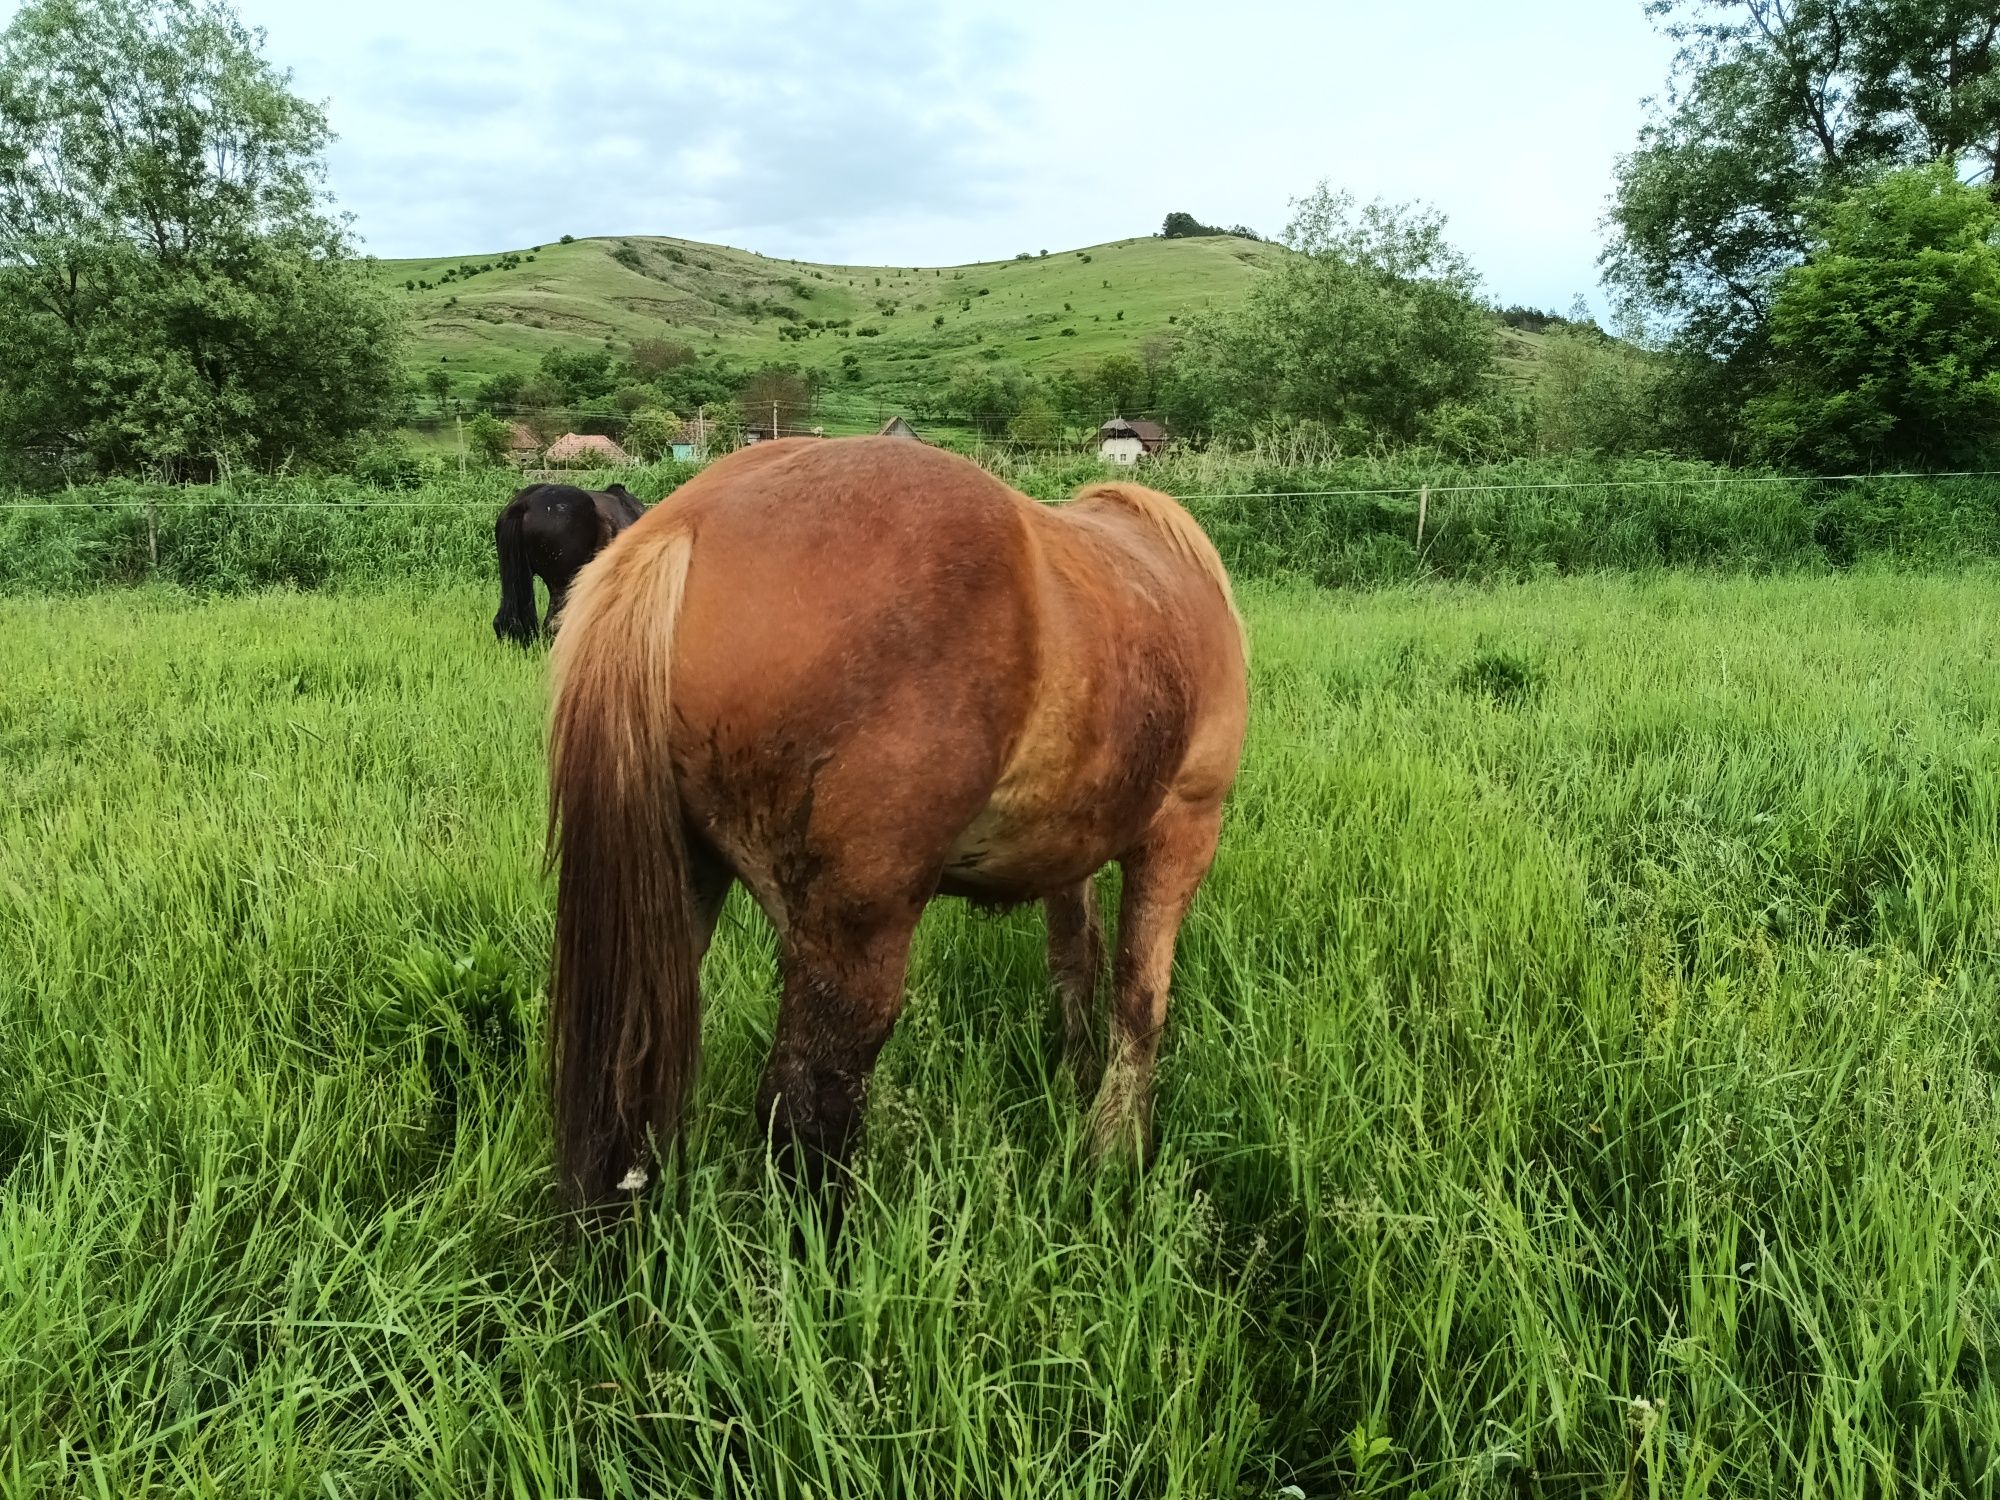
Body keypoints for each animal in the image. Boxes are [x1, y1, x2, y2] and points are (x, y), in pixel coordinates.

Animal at [540, 438, 1240, 1208]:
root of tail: (687, 521)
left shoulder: (1072, 850)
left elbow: (1074, 966)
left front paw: (1077, 1087)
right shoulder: (1185, 829)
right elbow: (1140, 999)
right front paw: (1117, 1152)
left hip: (677, 902)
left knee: (631, 1090)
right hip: (856, 934)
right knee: (807, 1105)